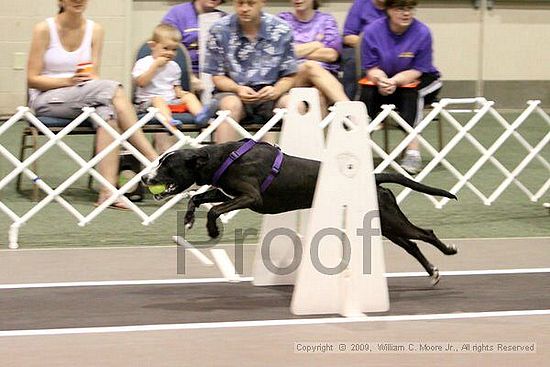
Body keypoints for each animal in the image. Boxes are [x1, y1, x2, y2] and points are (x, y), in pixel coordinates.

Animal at [144, 142, 460, 284]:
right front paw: (188, 219)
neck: (223, 157)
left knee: (425, 234)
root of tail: (375, 177)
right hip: (387, 224)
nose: (146, 178)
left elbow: (215, 210)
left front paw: (211, 229)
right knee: (411, 244)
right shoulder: (227, 193)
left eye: (167, 165)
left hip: (391, 220)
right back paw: (432, 271)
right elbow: (198, 198)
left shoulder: (249, 196)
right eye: (160, 161)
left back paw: (448, 251)